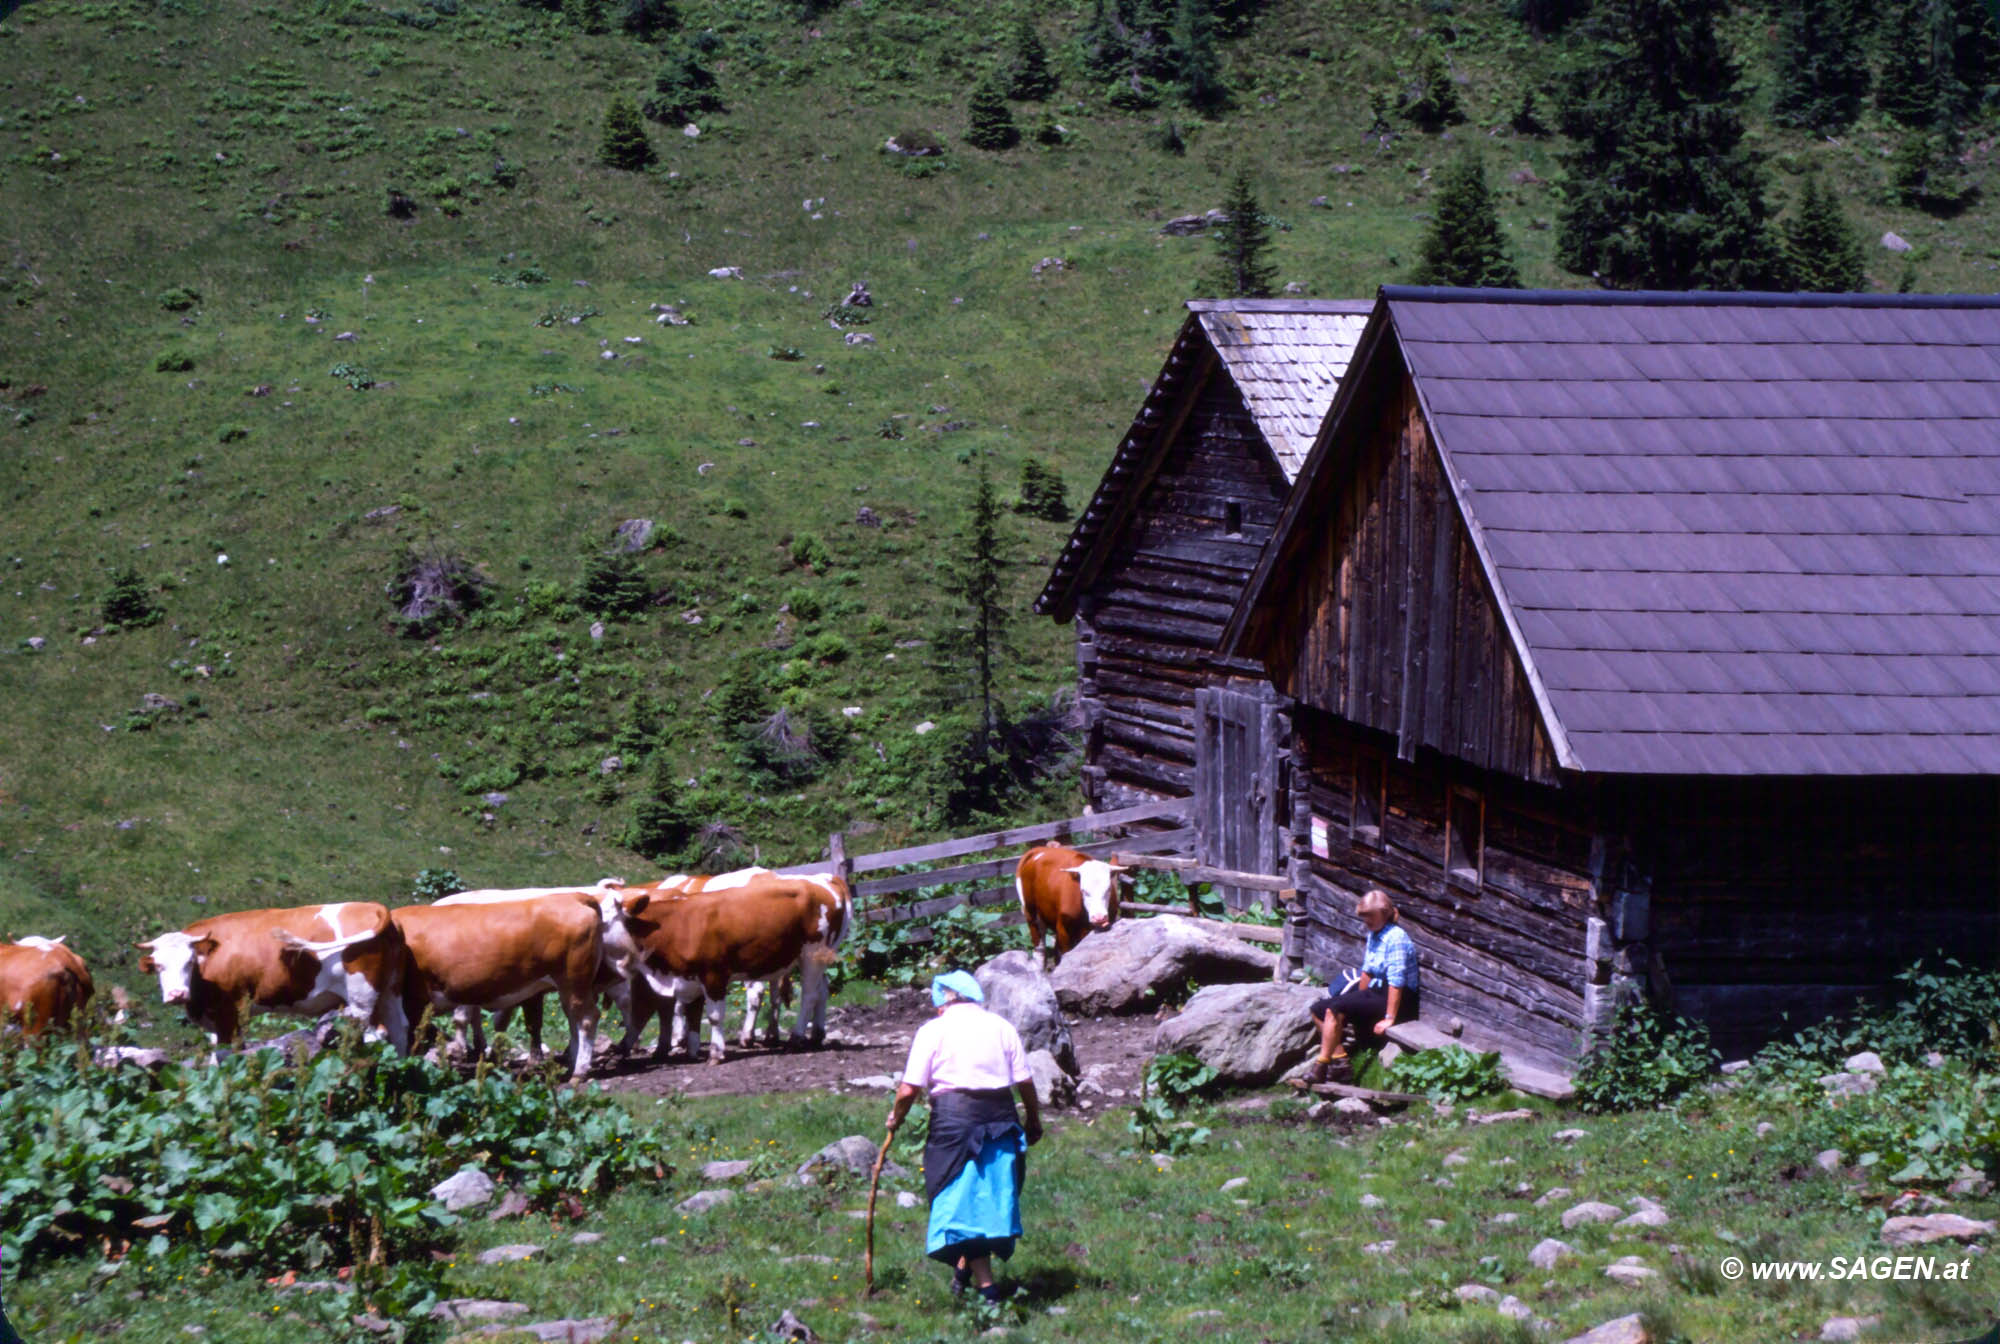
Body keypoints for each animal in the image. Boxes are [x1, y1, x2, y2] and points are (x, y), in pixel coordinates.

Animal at [136, 904, 406, 1048]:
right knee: (400, 1031)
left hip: (361, 1001)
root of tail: (371, 906)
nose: (177, 994)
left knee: (374, 1036)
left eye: (190, 962)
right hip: (389, 993)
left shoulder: (228, 1015)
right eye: (158, 966)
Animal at [390, 892, 604, 1080]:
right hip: (569, 987)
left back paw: (579, 1071)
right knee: (573, 1019)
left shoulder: (414, 1002)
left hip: (574, 981)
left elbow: (413, 1040)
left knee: (587, 1018)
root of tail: (574, 896)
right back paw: (571, 1063)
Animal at [620, 876, 848, 1064]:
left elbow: (712, 1016)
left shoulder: (714, 974)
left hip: (812, 953)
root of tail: (826, 879)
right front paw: (691, 1050)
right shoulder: (690, 978)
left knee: (809, 995)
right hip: (819, 956)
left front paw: (715, 1053)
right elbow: (689, 1012)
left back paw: (796, 1037)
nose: (620, 1049)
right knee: (822, 990)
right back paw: (817, 1035)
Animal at [1016, 840, 1128, 968]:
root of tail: (1036, 850)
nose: (1099, 917)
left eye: (1108, 889)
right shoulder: (1063, 927)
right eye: (1083, 890)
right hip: (1030, 912)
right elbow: (1066, 953)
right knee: (1040, 948)